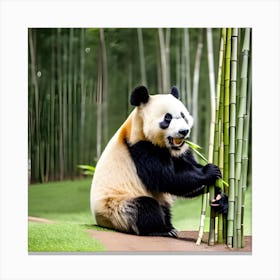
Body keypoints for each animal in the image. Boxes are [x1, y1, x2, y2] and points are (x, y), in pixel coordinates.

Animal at [90, 86, 228, 238]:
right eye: (167, 118)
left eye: (183, 115)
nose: (184, 131)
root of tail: (101, 221)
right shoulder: (139, 146)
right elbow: (167, 177)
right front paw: (209, 171)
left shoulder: (179, 151)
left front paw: (220, 198)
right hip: (116, 206)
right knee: (144, 207)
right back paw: (162, 229)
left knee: (163, 207)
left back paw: (169, 225)